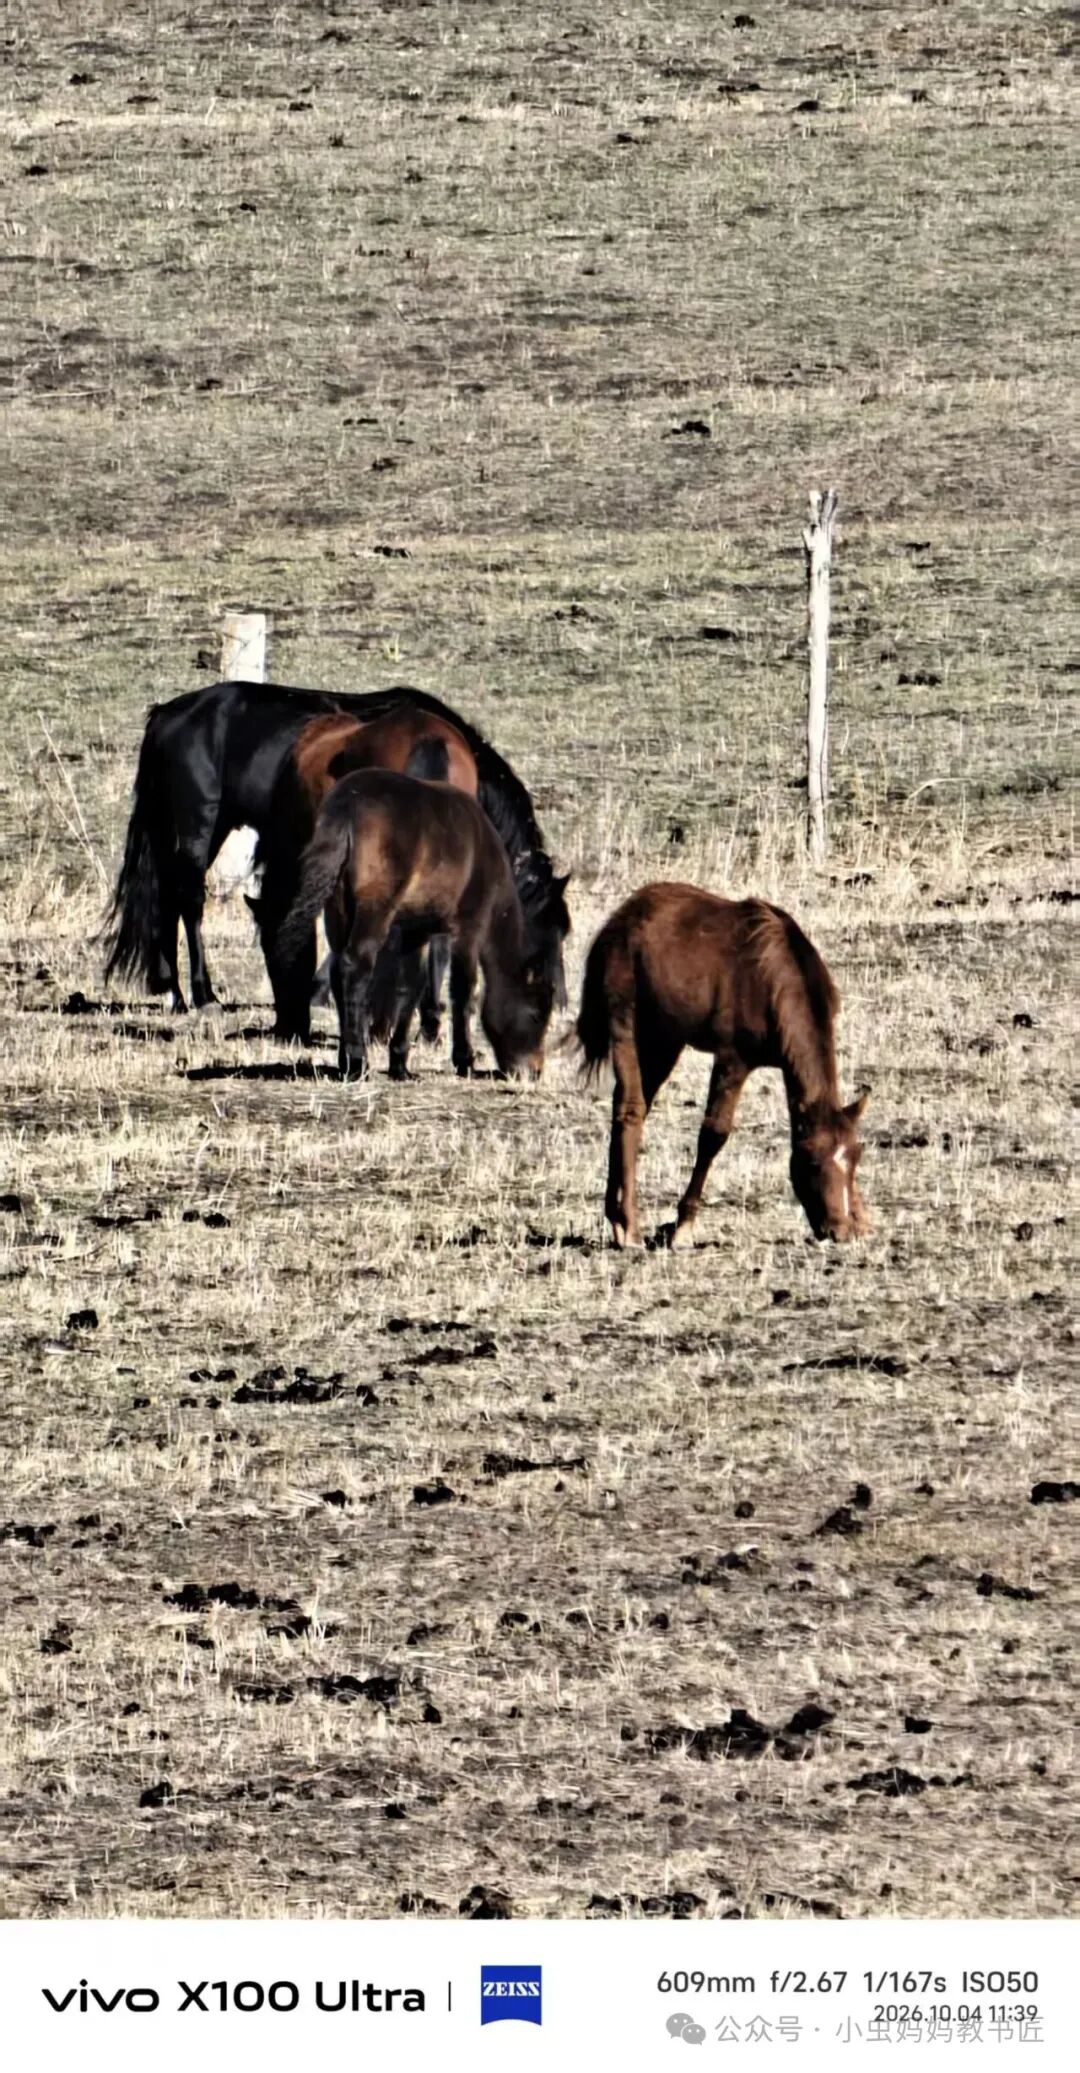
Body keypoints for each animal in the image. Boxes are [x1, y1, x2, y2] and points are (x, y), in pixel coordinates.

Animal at [274, 768, 556, 1081]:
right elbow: (463, 991)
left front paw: (400, 1062)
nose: (534, 1070)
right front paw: (465, 1060)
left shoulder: (416, 931)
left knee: (338, 971)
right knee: (355, 966)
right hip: (374, 911)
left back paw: (346, 1059)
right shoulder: (469, 930)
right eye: (536, 1015)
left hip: (337, 910)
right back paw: (358, 1062)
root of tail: (348, 805)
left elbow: (410, 986)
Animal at [576, 882, 870, 1249]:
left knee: (629, 1108)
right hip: (625, 1023)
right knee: (630, 1109)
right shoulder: (733, 1059)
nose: (838, 1231)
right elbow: (713, 1133)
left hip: (665, 1040)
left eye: (855, 1157)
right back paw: (629, 1225)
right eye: (813, 1160)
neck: (776, 977)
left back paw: (616, 1219)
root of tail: (619, 920)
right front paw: (683, 1226)